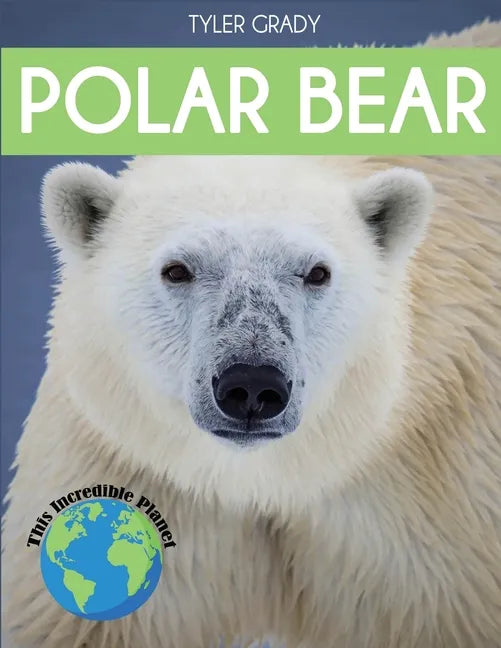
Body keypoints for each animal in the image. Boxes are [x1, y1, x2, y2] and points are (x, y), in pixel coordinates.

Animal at [2, 149, 501, 648]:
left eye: (317, 272)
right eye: (177, 269)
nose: (253, 386)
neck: (259, 479)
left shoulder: (431, 497)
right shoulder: (126, 465)